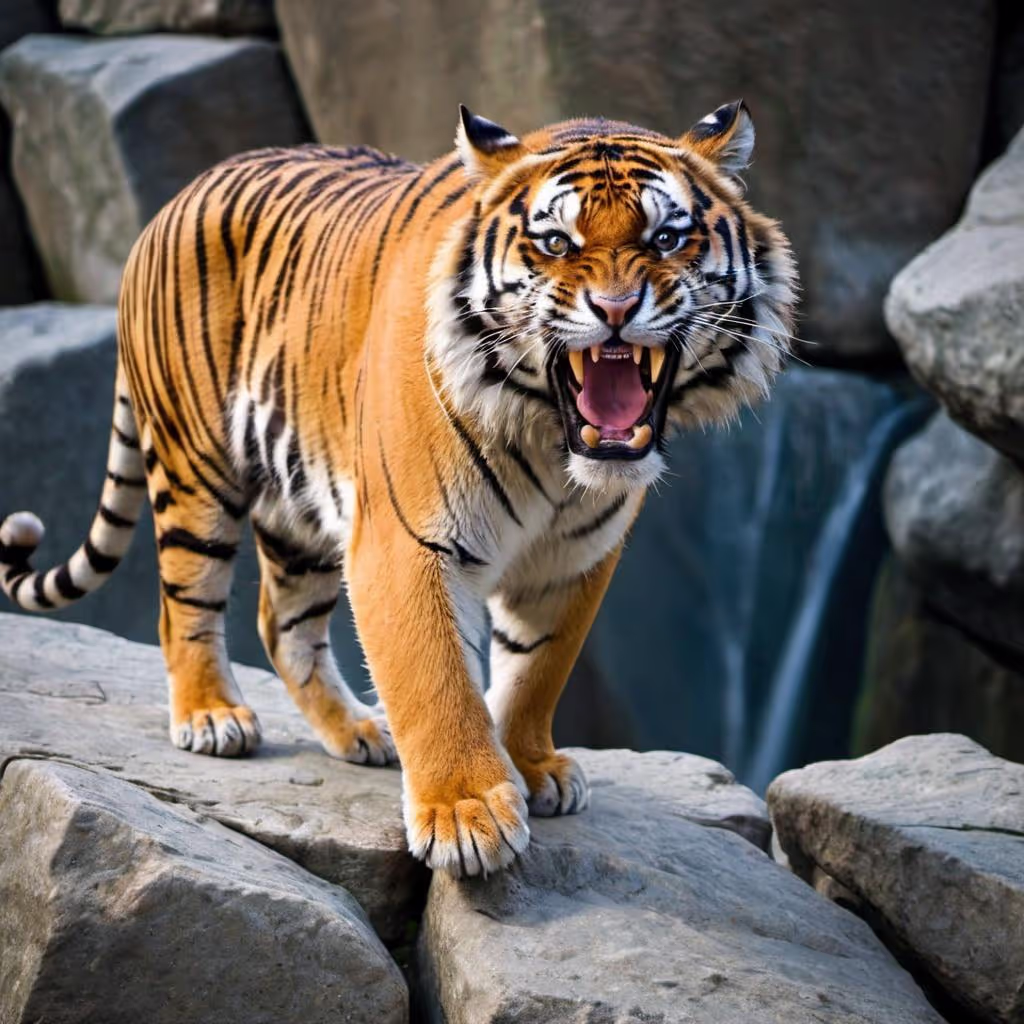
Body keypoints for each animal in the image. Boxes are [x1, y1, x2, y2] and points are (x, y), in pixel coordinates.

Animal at [0, 100, 796, 877]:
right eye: (556, 243)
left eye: (666, 237)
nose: (616, 308)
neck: (551, 444)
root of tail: (175, 199)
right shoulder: (407, 542)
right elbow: (436, 678)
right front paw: (467, 816)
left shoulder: (575, 561)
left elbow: (537, 668)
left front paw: (532, 765)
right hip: (196, 468)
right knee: (185, 604)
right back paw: (213, 716)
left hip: (299, 508)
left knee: (282, 623)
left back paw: (358, 730)